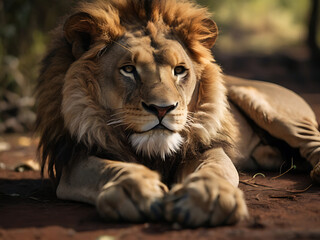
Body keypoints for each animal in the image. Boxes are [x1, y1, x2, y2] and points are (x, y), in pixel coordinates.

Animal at [35, 0, 320, 227]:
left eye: (180, 70)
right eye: (128, 69)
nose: (162, 108)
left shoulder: (207, 147)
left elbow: (215, 169)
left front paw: (209, 196)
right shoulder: (74, 158)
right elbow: (108, 168)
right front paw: (137, 190)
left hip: (266, 106)